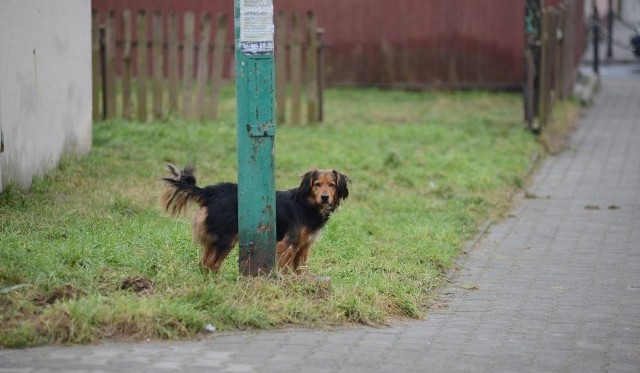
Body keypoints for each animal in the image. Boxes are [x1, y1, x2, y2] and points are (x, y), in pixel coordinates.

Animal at [159, 164, 350, 272]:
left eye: (332, 185)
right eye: (317, 184)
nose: (324, 197)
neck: (307, 204)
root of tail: (211, 191)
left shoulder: (303, 246)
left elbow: (300, 270)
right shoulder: (288, 244)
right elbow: (283, 268)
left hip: (218, 240)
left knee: (205, 264)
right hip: (225, 239)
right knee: (210, 264)